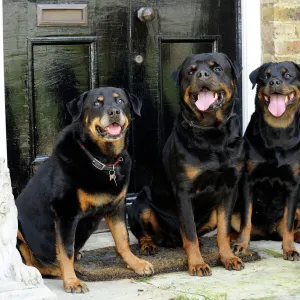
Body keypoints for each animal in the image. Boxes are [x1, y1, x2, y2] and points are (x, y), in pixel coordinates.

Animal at [15, 86, 154, 292]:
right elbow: (65, 251)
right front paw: (72, 281)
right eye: (97, 103)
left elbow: (123, 240)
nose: (114, 112)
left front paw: (136, 263)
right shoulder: (65, 213)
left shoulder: (117, 207)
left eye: (120, 101)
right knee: (33, 265)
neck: (103, 160)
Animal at [128, 52, 244, 276]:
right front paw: (197, 264)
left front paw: (228, 257)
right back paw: (149, 245)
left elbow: (224, 231)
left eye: (217, 68)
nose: (202, 74)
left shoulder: (230, 188)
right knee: (144, 232)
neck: (212, 133)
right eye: (190, 71)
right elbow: (189, 232)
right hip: (141, 203)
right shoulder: (183, 191)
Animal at [233, 61, 300, 260]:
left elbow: (288, 223)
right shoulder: (248, 180)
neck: (277, 131)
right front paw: (241, 245)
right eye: (265, 76)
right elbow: (246, 220)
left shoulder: (293, 184)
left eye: (288, 75)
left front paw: (290, 249)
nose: (275, 82)